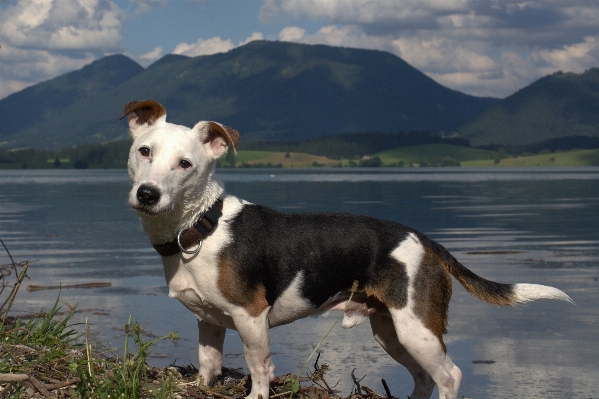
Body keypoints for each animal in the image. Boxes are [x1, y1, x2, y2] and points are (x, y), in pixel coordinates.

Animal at [123, 100, 576, 399]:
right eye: (144, 151)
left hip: (417, 330)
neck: (199, 228)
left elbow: (259, 368)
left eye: (186, 164)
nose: (147, 194)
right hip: (391, 332)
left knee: (449, 376)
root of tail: (425, 240)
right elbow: (209, 365)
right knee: (424, 379)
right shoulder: (209, 321)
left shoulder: (251, 318)